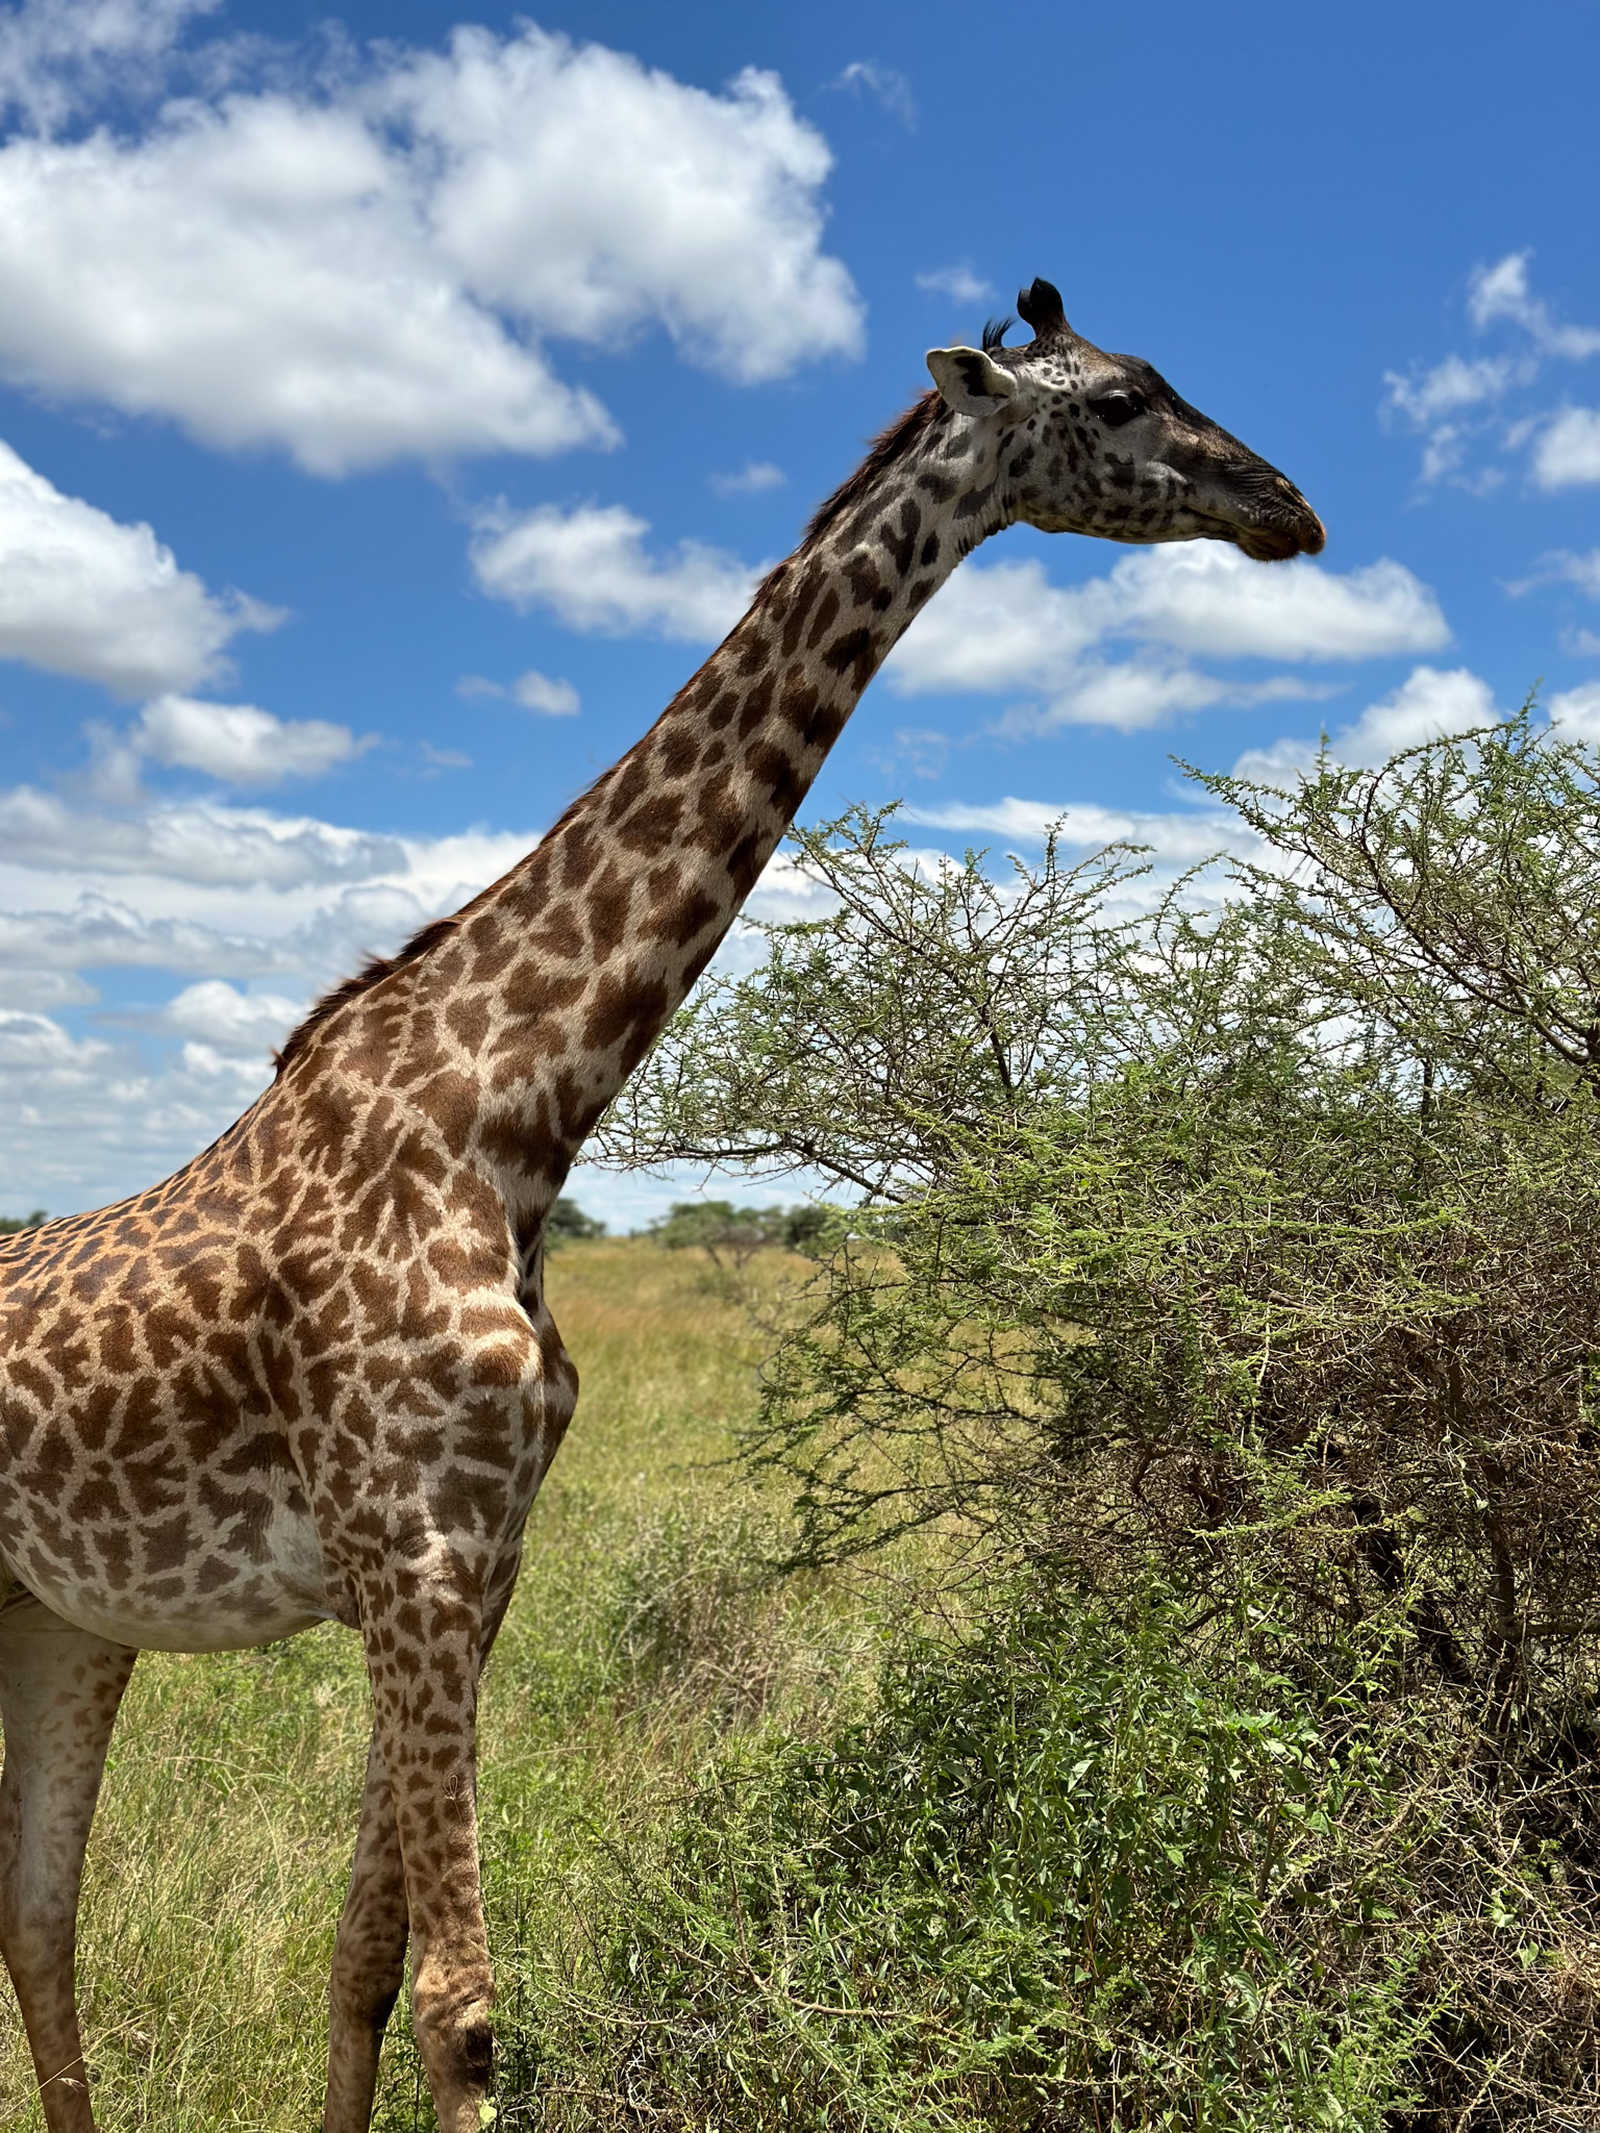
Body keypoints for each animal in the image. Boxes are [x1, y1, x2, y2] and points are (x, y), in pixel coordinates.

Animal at [0, 278, 1323, 2132]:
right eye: (1124, 398)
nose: (1290, 506)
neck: (512, 1110)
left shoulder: (478, 1561)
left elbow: (363, 1964)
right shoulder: (410, 1549)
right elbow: (462, 2007)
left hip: (60, 1610)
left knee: (39, 1921)